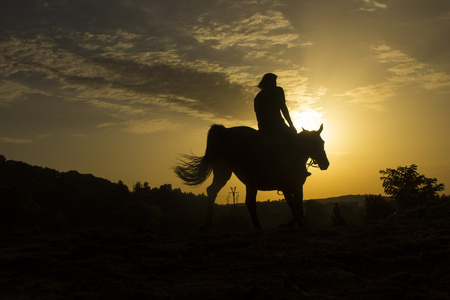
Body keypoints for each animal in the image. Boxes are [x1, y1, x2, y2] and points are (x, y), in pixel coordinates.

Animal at [174, 124, 328, 230]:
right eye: (318, 143)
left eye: (322, 143)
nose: (326, 164)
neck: (294, 153)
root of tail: (225, 131)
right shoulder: (294, 186)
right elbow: (298, 209)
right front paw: (287, 226)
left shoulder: (288, 188)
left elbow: (295, 208)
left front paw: (298, 226)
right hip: (249, 178)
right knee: (249, 201)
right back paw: (257, 226)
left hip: (224, 172)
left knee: (213, 191)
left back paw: (208, 225)